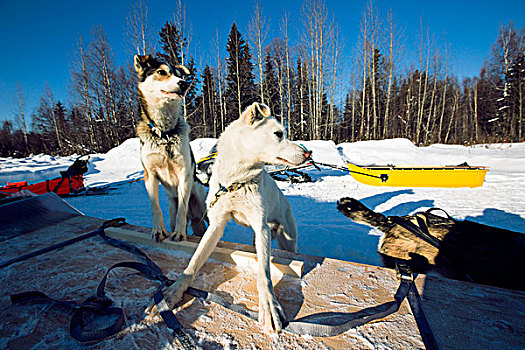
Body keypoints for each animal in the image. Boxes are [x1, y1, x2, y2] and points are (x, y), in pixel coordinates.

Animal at [133, 55, 207, 241]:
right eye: (161, 72)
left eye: (179, 75)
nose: (184, 83)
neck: (165, 134)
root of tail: (194, 215)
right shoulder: (149, 175)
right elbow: (155, 207)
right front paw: (158, 230)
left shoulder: (184, 174)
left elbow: (182, 208)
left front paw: (179, 234)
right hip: (173, 209)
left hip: (202, 204)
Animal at [147, 102, 310, 332]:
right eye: (278, 134)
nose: (308, 153)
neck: (236, 183)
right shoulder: (215, 225)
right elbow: (193, 263)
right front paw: (172, 293)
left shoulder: (261, 227)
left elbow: (264, 274)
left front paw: (269, 306)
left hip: (285, 239)